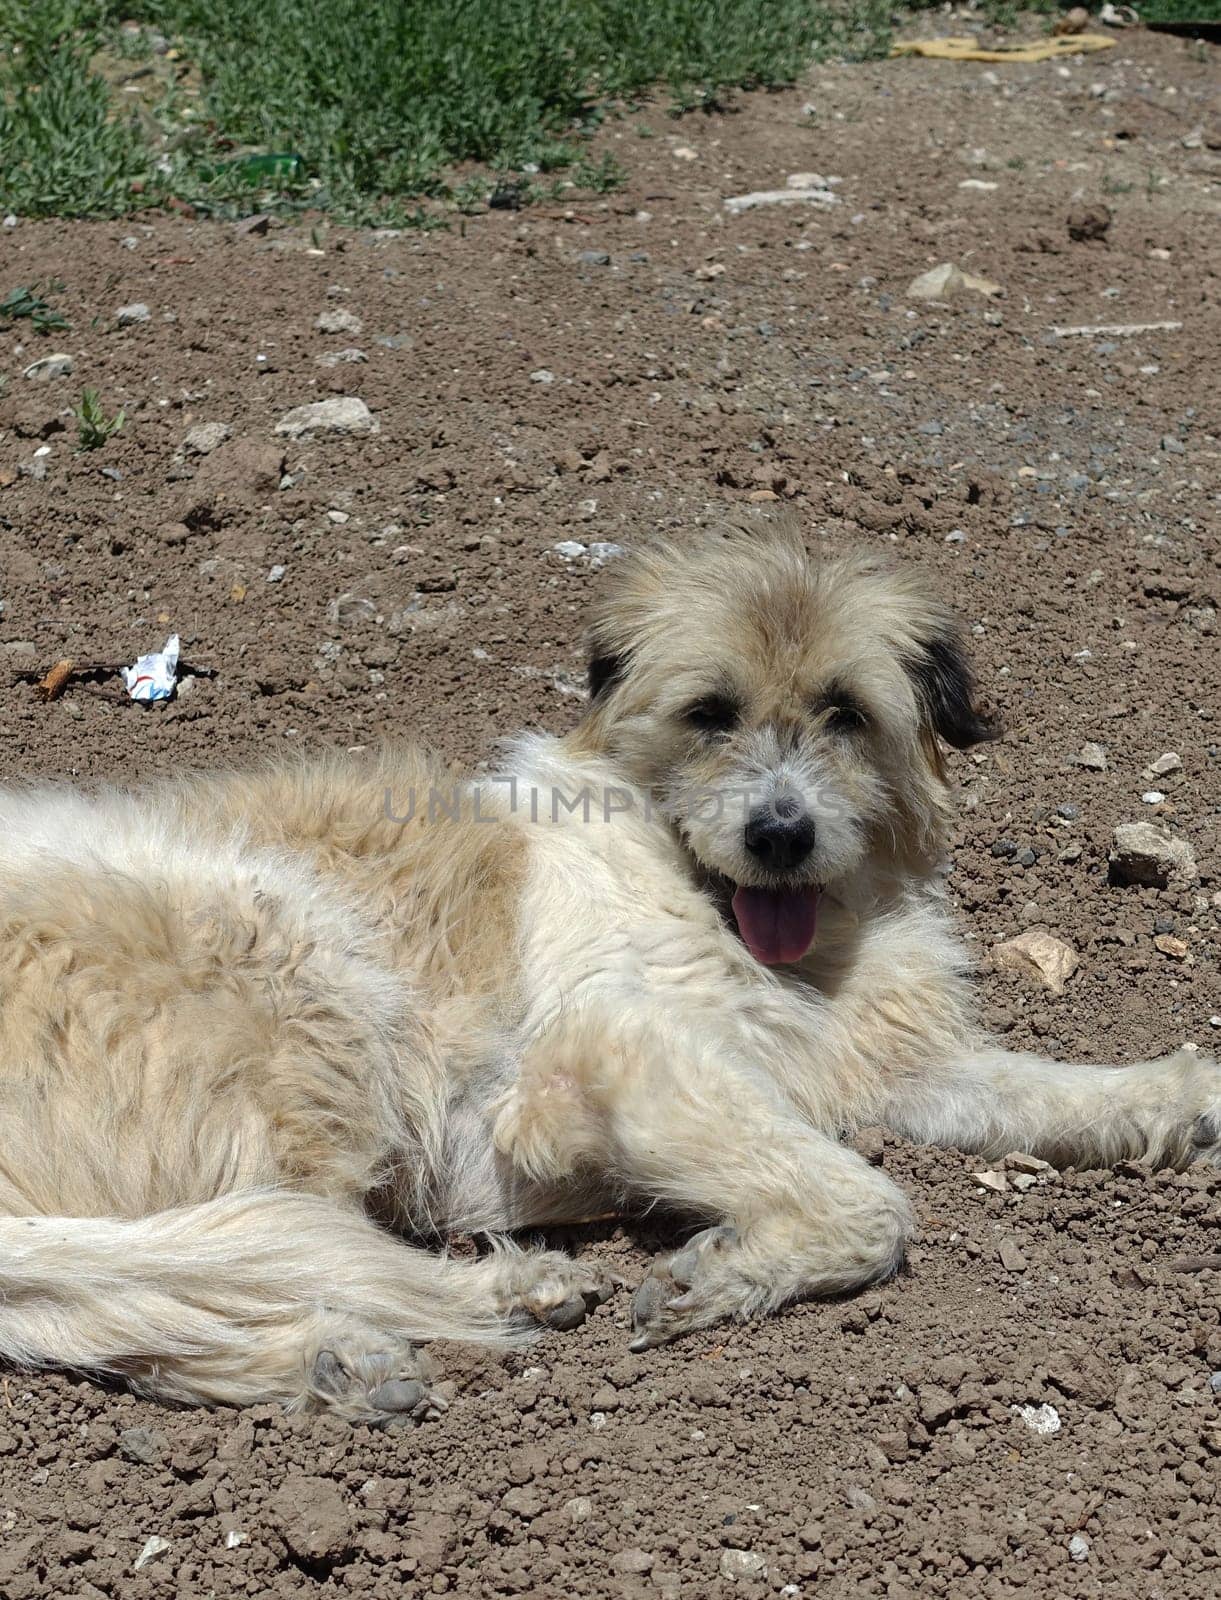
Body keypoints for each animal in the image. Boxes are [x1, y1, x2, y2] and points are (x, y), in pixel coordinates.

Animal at [0, 518, 1216, 1420]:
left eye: (844, 712)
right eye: (710, 713)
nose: (780, 834)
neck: (736, 918)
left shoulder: (889, 1065)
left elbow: (1038, 1089)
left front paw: (1180, 1094)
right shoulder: (606, 1053)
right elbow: (870, 1199)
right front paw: (718, 1275)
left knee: (148, 1289)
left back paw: (338, 1360)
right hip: (302, 979)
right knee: (264, 1242)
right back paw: (486, 1291)